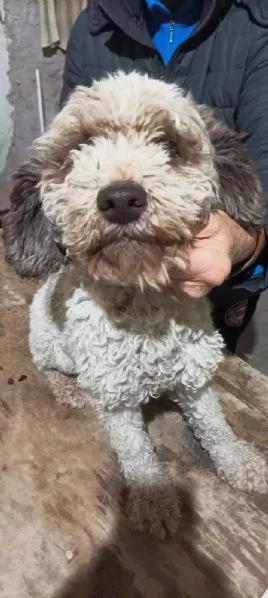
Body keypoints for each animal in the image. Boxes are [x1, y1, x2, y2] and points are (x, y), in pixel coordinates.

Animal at [3, 71, 266, 540]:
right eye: (79, 147)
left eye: (168, 144)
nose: (122, 198)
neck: (143, 304)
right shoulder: (116, 397)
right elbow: (137, 454)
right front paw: (155, 499)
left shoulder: (196, 377)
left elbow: (216, 428)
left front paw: (239, 463)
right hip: (53, 349)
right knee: (47, 367)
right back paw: (69, 389)